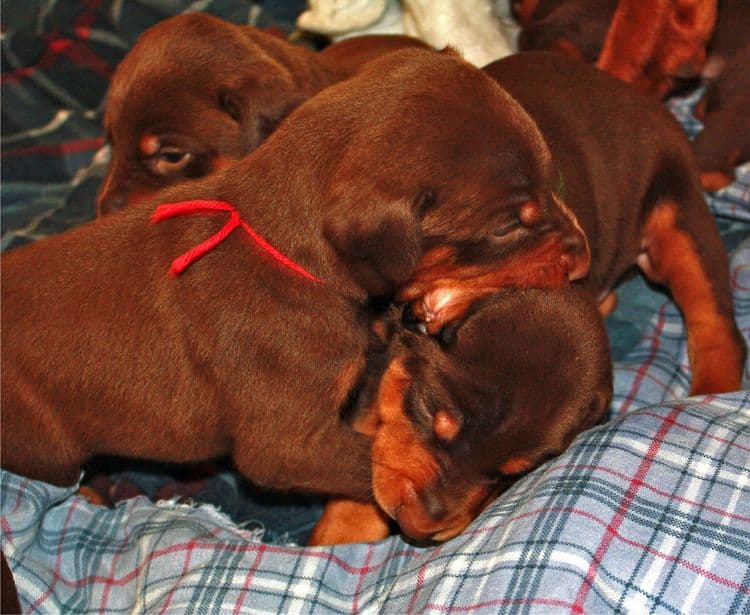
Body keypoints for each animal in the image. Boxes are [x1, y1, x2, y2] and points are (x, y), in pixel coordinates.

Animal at [0, 47, 592, 516]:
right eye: (509, 225)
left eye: (554, 181)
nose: (584, 259)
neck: (285, 250)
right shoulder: (290, 443)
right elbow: (368, 464)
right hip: (47, 445)